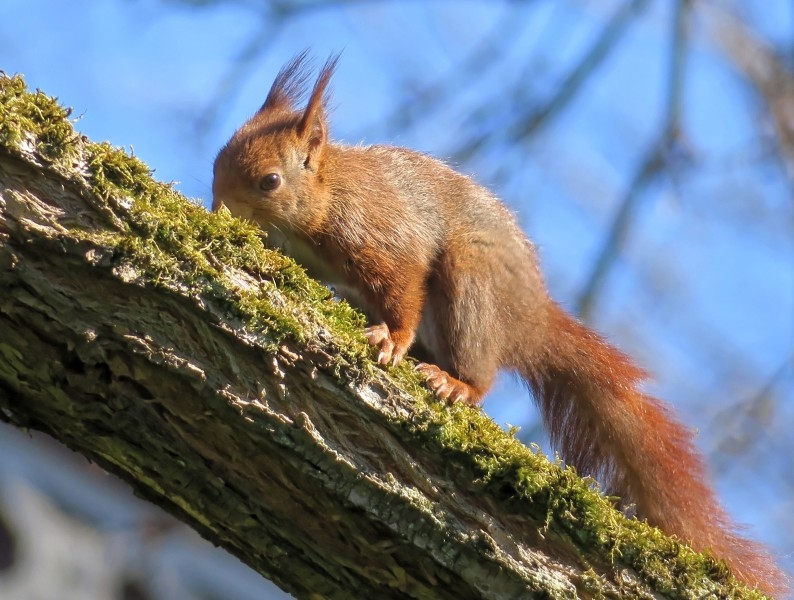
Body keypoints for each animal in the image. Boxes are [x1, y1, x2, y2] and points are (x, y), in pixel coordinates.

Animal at [210, 52, 784, 596]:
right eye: (218, 158)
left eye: (270, 181)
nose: (217, 207)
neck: (327, 197)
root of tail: (529, 322)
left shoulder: (383, 235)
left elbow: (404, 288)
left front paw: (391, 339)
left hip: (471, 285)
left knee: (480, 371)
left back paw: (456, 383)